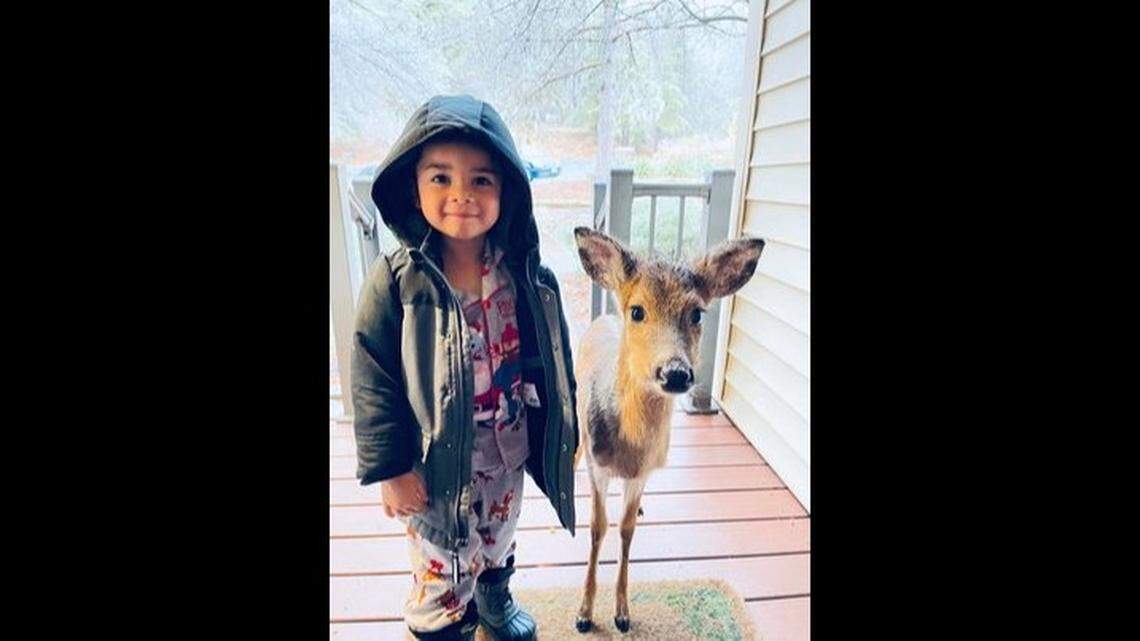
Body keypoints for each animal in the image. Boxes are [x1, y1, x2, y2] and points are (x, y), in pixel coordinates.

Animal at [570, 226, 765, 634]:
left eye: (697, 312)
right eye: (637, 311)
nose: (675, 372)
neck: (628, 448)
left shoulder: (643, 472)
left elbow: (626, 529)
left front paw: (622, 612)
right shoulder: (599, 465)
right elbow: (598, 528)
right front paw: (584, 614)